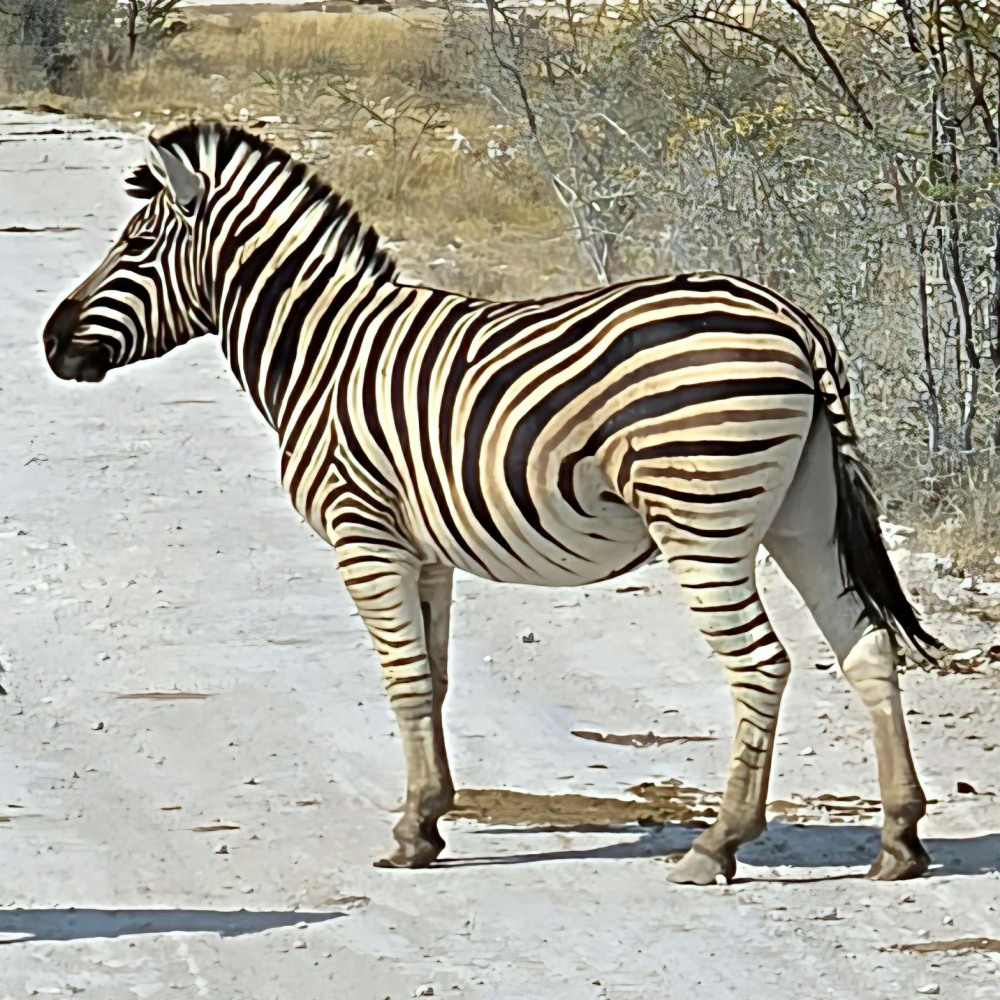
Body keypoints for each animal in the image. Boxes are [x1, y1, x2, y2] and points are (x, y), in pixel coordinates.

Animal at [43, 123, 937, 885]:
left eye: (136, 244)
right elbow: (433, 678)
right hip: (802, 516)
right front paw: (431, 814)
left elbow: (403, 679)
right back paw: (899, 838)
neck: (322, 352)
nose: (52, 343)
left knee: (760, 664)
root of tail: (793, 320)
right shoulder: (423, 548)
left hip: (702, 519)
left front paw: (410, 836)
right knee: (866, 645)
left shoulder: (361, 532)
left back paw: (716, 845)